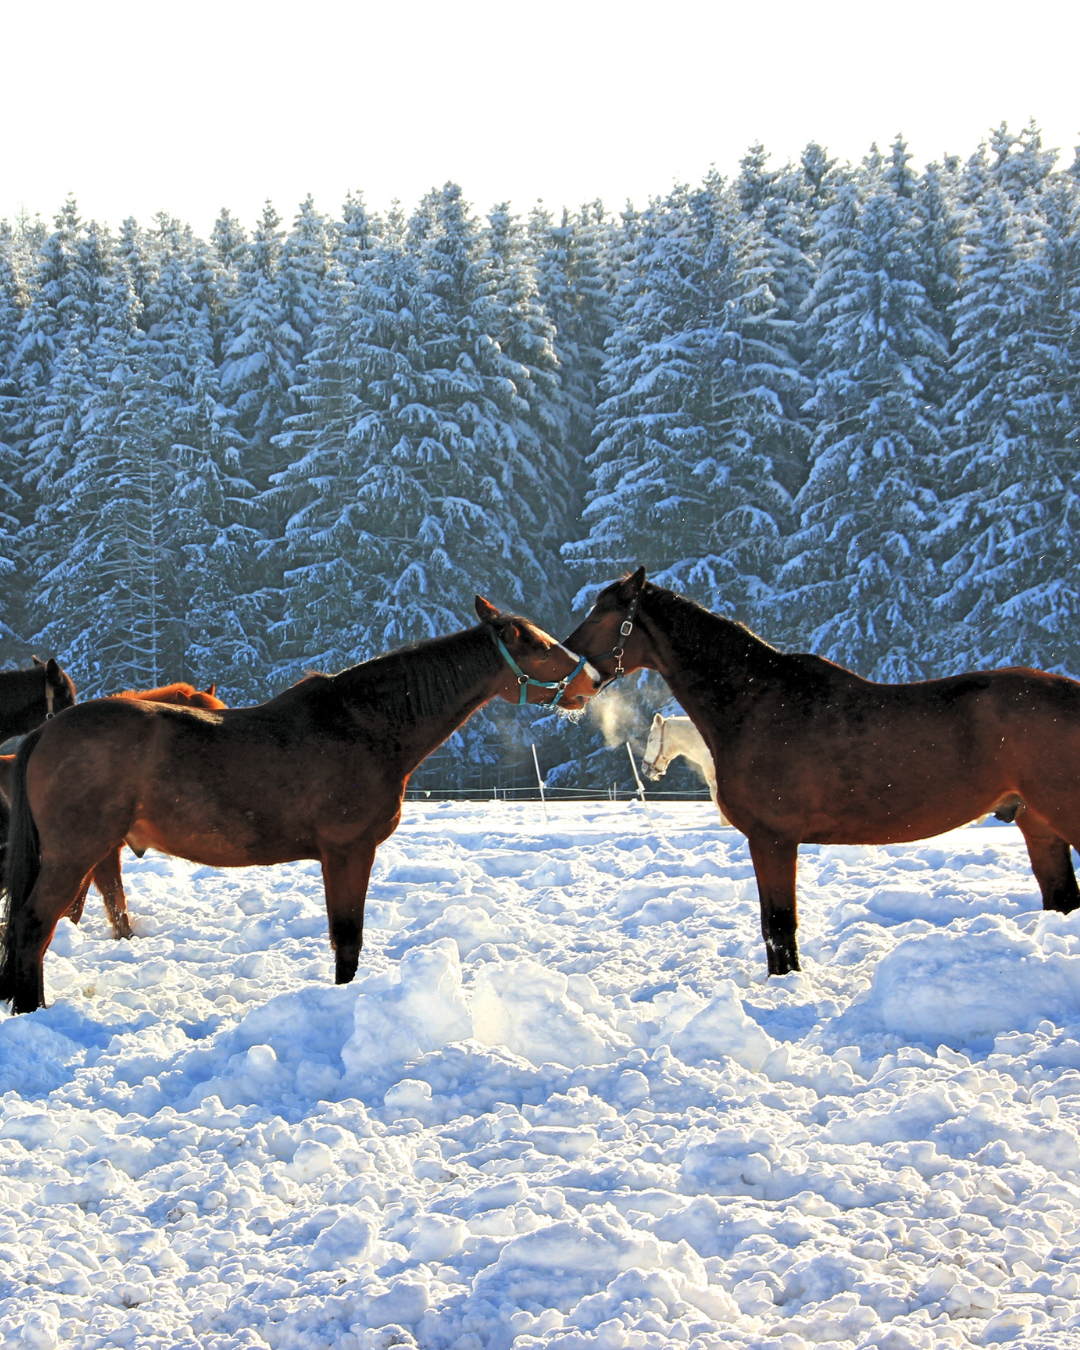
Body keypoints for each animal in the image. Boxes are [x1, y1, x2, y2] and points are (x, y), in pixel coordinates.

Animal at [565, 567, 1080, 976]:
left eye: (599, 616)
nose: (565, 682)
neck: (757, 704)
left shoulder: (772, 840)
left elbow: (778, 926)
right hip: (1039, 825)